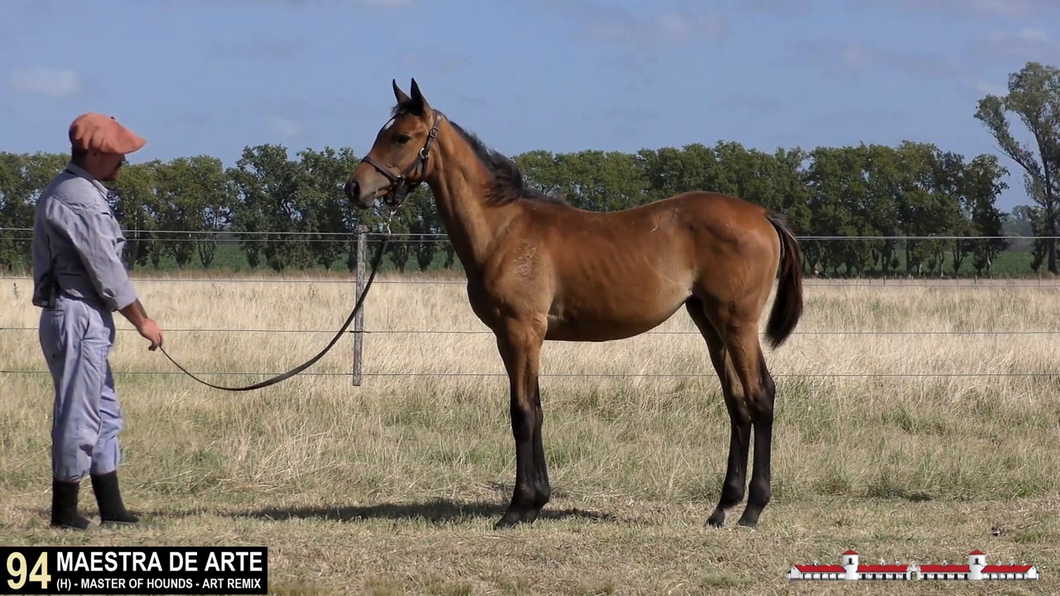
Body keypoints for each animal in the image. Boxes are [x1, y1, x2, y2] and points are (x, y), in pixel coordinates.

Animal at [345, 79, 801, 528]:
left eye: (402, 137)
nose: (355, 188)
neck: (503, 229)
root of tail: (762, 215)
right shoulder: (517, 338)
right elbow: (537, 409)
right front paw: (536, 502)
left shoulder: (520, 331)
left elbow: (522, 413)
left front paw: (517, 508)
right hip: (710, 323)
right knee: (737, 402)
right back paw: (723, 507)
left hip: (737, 323)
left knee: (761, 395)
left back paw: (753, 509)